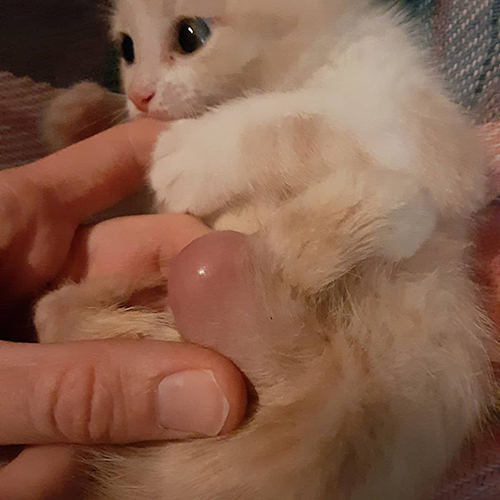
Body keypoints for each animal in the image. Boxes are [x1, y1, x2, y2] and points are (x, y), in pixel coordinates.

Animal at [36, 0, 496, 500]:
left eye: (190, 35)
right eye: (126, 47)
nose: (139, 96)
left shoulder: (432, 141)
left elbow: (303, 122)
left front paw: (198, 150)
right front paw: (79, 112)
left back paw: (385, 206)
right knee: (50, 313)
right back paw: (131, 322)